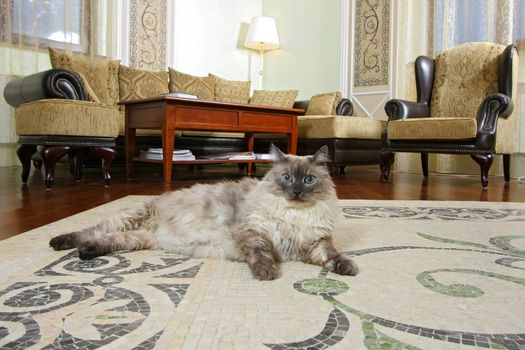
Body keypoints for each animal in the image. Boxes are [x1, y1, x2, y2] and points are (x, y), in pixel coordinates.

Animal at [49, 144, 356, 278]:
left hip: (135, 239)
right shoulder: (255, 235)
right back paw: (59, 242)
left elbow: (333, 255)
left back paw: (84, 253)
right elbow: (262, 256)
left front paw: (347, 268)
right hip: (128, 220)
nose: (297, 192)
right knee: (89, 231)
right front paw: (266, 273)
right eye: (288, 178)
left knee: (103, 241)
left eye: (309, 180)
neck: (295, 216)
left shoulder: (315, 244)